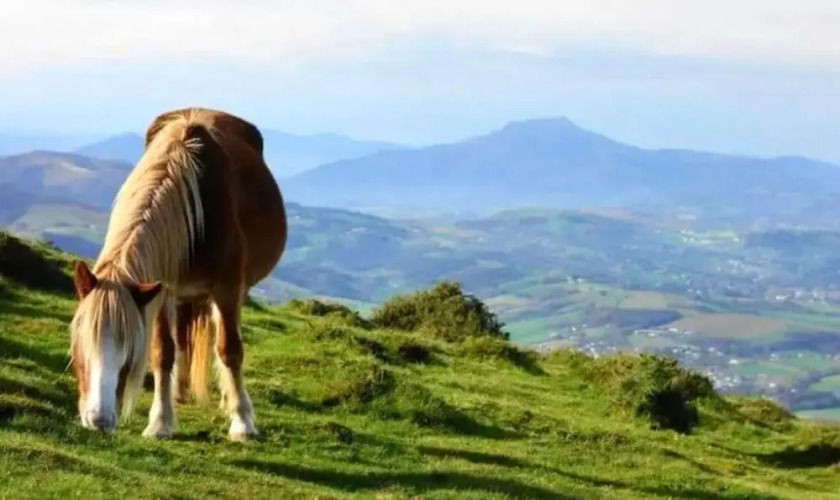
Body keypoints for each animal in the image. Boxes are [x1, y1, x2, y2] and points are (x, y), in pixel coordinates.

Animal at [69, 107, 287, 441]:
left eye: (129, 349)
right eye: (81, 342)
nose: (99, 420)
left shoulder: (227, 289)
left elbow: (229, 349)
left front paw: (242, 423)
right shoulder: (162, 289)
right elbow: (163, 352)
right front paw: (160, 422)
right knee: (183, 334)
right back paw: (179, 391)